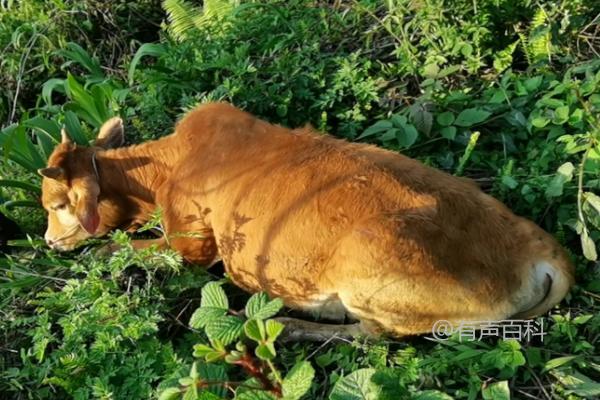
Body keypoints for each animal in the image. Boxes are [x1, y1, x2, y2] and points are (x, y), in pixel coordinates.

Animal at [39, 102, 576, 338]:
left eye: (56, 204)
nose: (47, 242)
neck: (161, 172)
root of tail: (538, 251)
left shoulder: (193, 244)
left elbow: (118, 248)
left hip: (371, 280)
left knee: (368, 337)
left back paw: (283, 322)